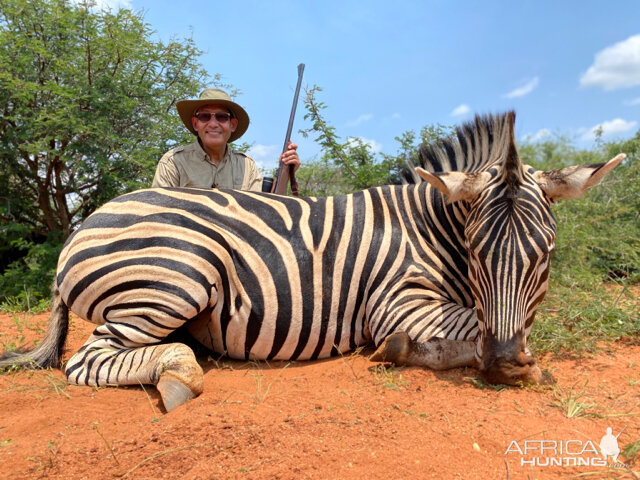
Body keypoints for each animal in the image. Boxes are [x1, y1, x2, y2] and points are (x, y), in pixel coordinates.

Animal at [0, 110, 620, 410]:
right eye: (474, 251)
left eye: (546, 254)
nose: (507, 364)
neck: (430, 227)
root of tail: (80, 229)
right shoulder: (397, 302)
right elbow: (470, 328)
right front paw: (406, 350)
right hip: (180, 275)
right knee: (89, 360)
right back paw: (177, 372)